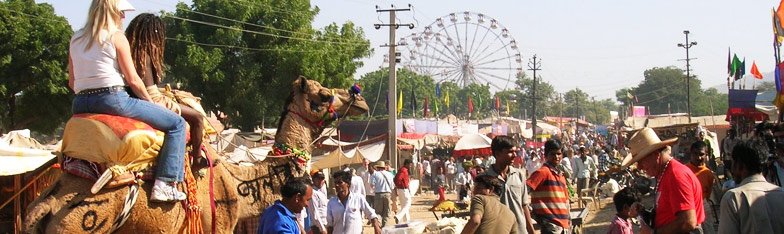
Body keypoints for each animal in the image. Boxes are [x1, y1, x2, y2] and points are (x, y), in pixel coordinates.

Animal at [21, 76, 370, 232]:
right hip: (82, 224)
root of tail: (46, 206)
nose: (360, 99)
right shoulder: (218, 223)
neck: (239, 184)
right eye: (322, 95)